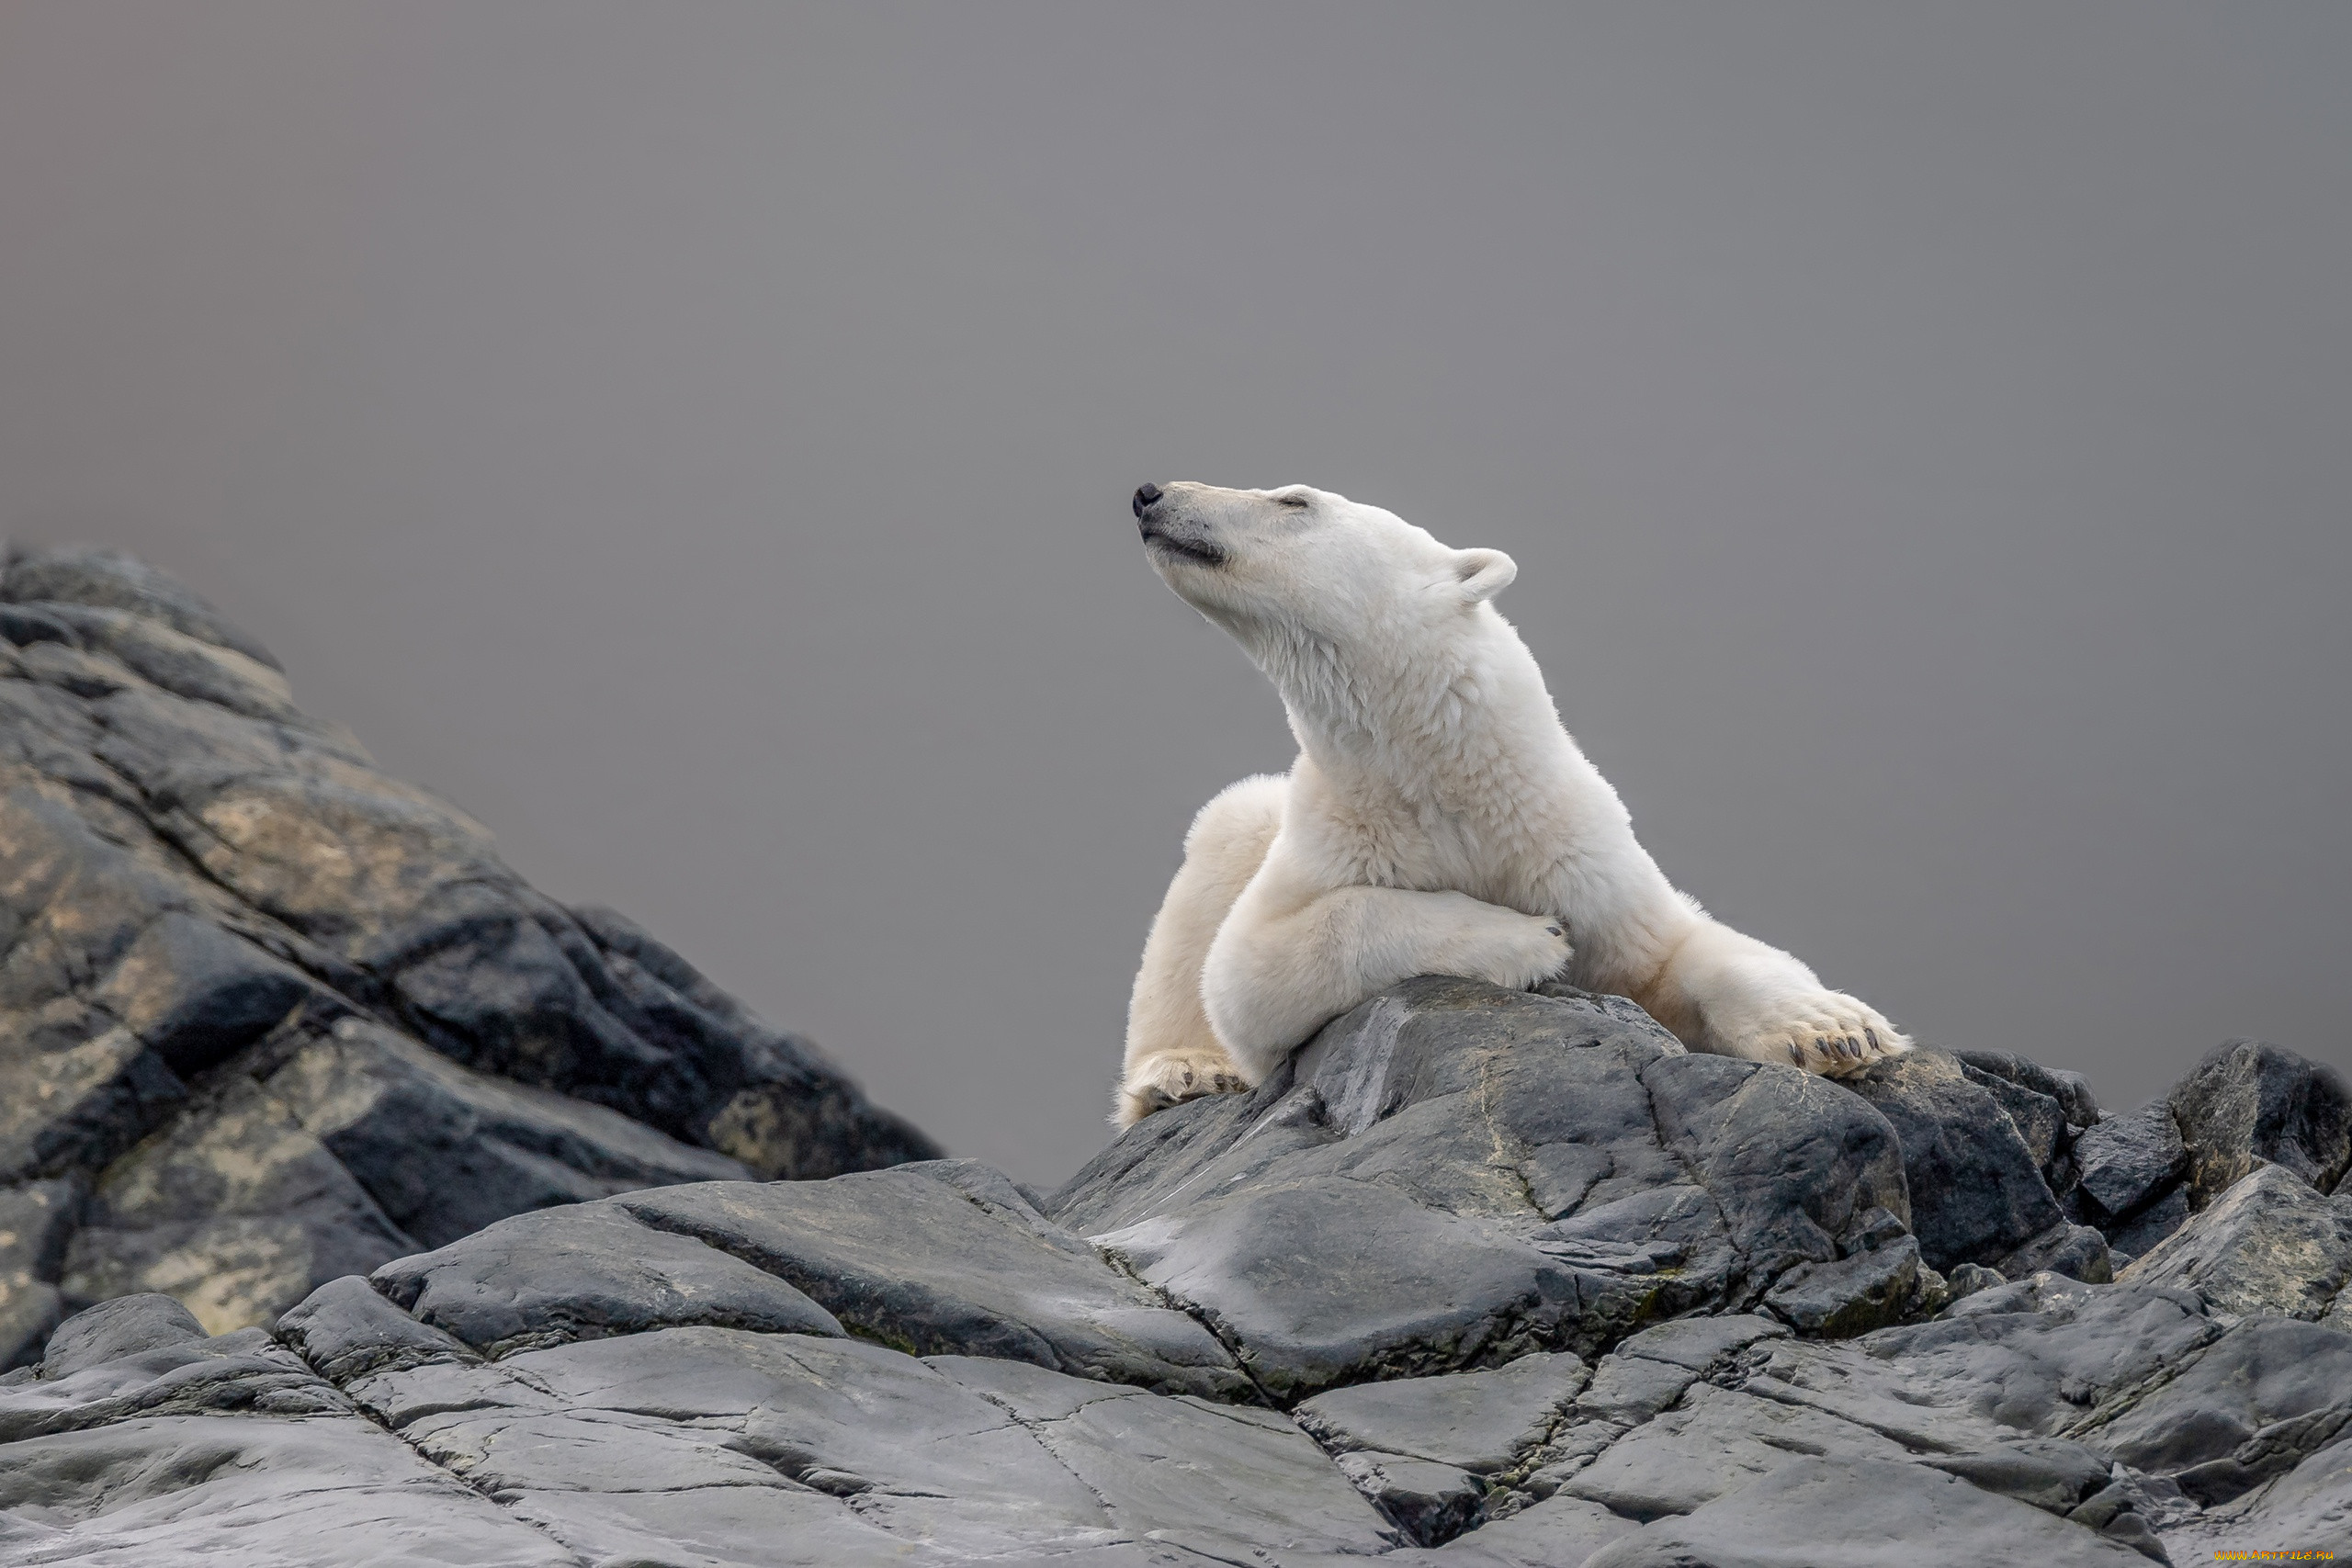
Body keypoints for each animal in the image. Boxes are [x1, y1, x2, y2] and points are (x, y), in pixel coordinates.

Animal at [1119, 479, 1909, 1128]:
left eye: (1293, 500)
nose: (1152, 493)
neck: (1448, 773)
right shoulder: (1337, 837)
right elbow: (1252, 966)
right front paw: (1530, 937)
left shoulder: (1575, 844)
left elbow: (1678, 949)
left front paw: (1833, 1028)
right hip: (1246, 821)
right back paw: (1185, 1069)